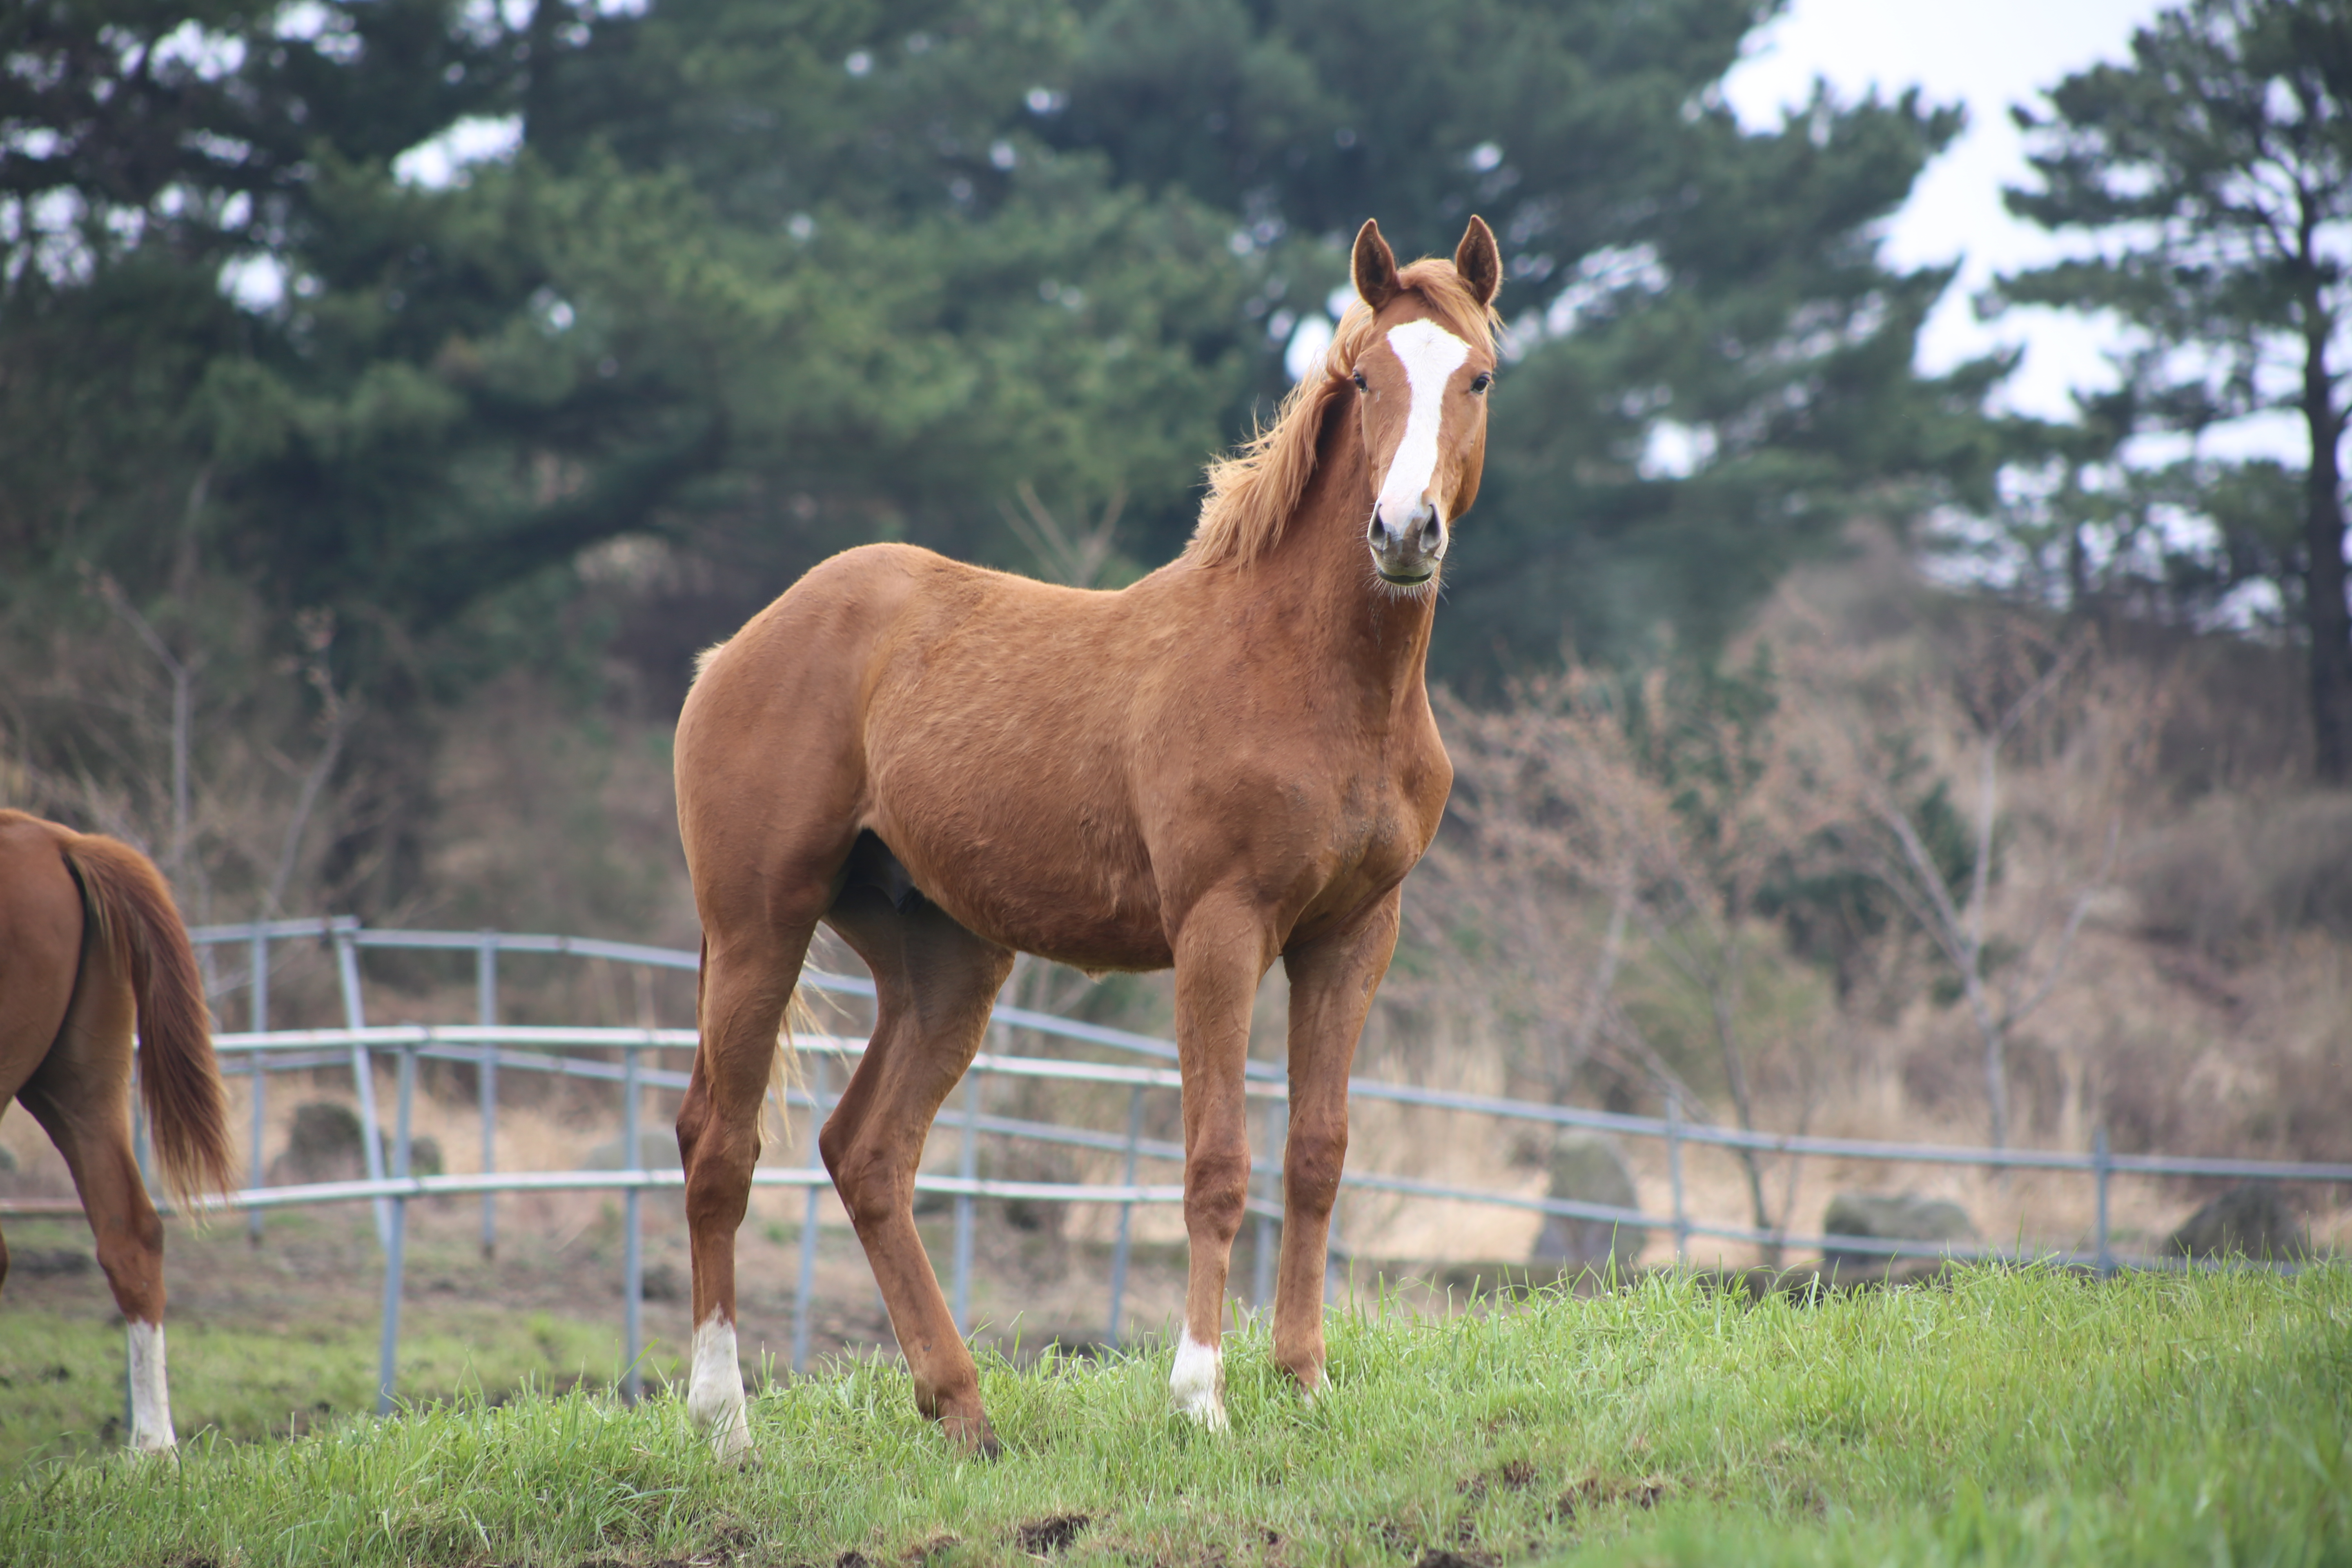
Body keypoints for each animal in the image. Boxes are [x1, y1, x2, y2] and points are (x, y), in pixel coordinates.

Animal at [673, 215, 1496, 1457]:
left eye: (1478, 377)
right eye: (1364, 377)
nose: (1404, 532)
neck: (1312, 678)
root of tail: (735, 650)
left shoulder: (1354, 934)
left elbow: (1316, 1154)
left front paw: (1304, 1381)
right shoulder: (1219, 931)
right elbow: (1215, 1163)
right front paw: (1201, 1396)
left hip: (946, 962)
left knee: (866, 1154)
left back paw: (962, 1408)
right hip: (759, 926)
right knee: (720, 1148)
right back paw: (726, 1425)